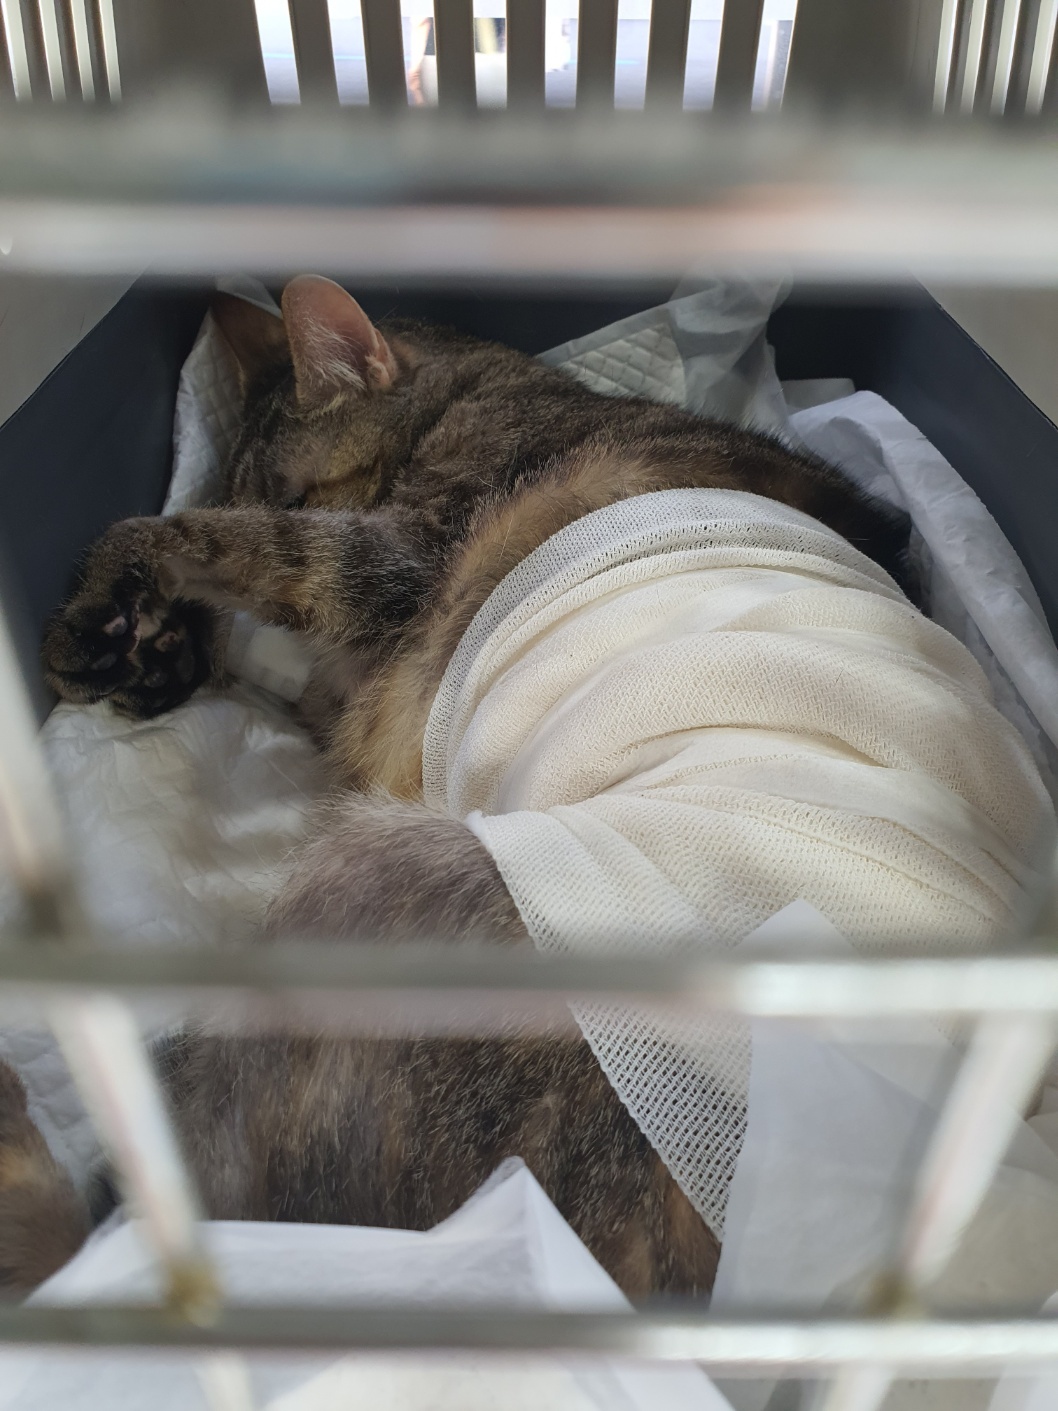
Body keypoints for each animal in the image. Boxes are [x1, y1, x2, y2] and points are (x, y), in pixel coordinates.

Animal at [0, 276, 911, 1300]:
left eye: (297, 491)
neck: (490, 390)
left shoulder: (382, 569)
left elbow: (202, 543)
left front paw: (117, 619)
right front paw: (155, 647)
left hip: (368, 872)